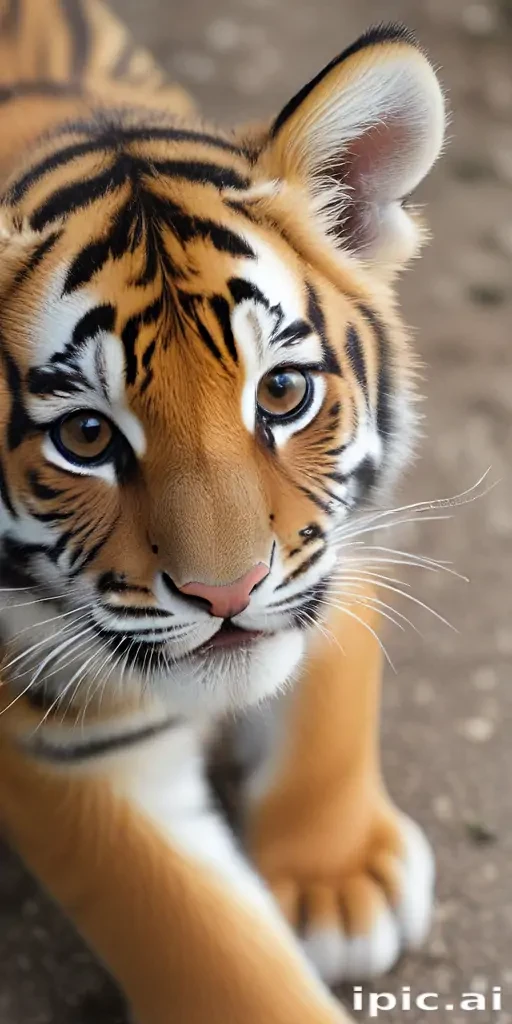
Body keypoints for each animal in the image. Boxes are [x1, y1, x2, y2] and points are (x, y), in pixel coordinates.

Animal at [0, 2, 446, 1022]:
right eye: (85, 435)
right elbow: (209, 950)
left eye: (280, 392)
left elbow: (334, 679)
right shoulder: (60, 746)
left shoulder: (344, 540)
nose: (227, 592)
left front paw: (338, 880)